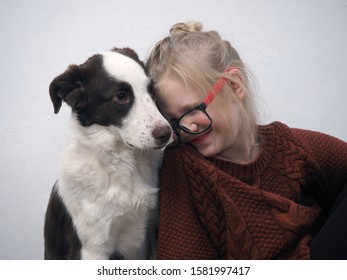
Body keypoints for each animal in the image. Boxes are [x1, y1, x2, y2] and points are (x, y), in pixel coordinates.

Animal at [43, 47, 173, 260]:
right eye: (121, 96)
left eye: (151, 90)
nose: (166, 134)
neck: (121, 163)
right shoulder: (94, 248)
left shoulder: (151, 230)